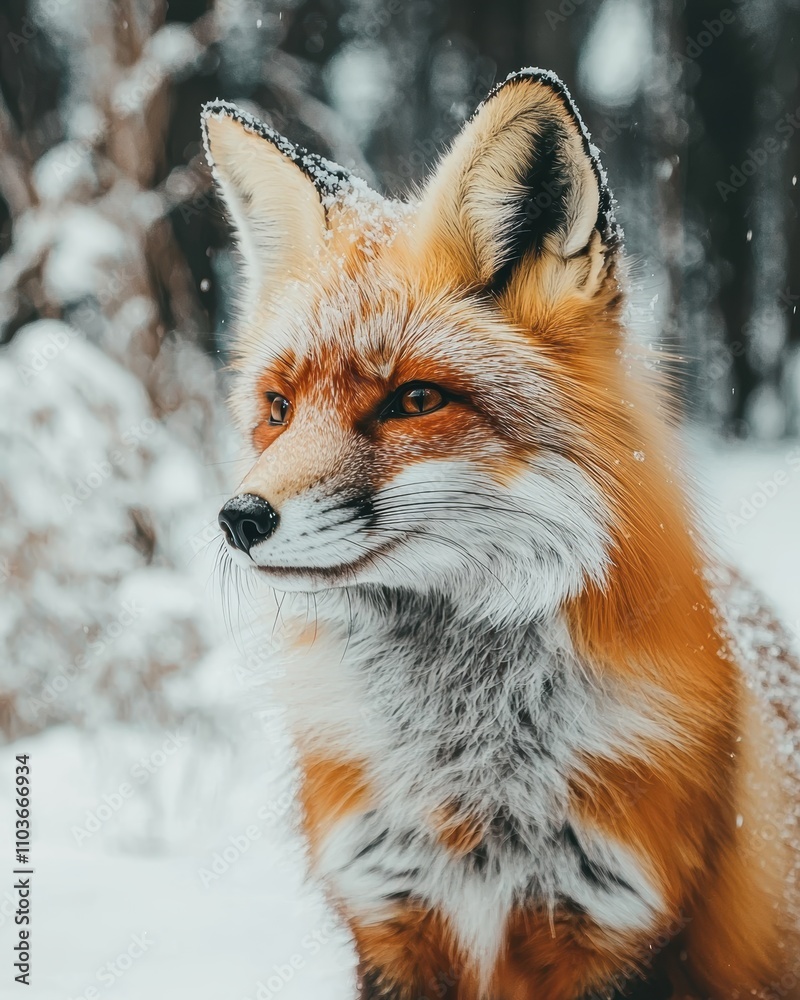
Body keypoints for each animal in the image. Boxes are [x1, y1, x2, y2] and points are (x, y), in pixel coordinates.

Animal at [202, 69, 800, 999]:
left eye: (414, 400)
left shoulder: (623, 930)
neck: (471, 785)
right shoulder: (387, 919)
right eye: (278, 409)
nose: (240, 520)